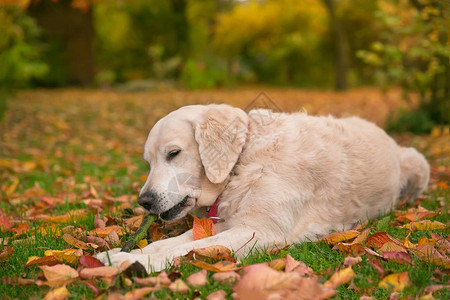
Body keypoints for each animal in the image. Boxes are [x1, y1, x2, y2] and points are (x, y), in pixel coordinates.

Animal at [97, 103, 428, 272]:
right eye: (148, 161)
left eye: (174, 153)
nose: (144, 201)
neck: (244, 159)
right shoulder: (225, 223)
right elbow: (169, 243)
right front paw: (118, 254)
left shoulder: (259, 231)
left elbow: (188, 249)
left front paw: (133, 262)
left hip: (418, 162)